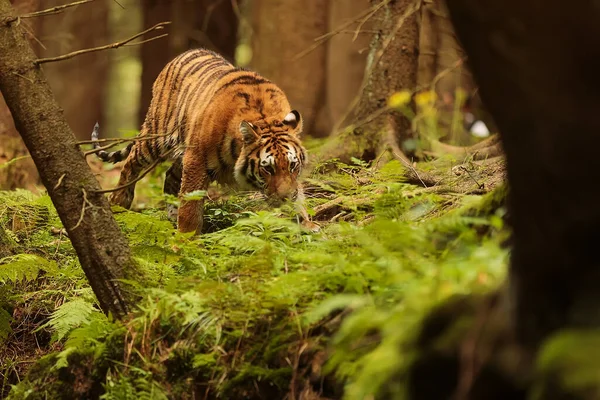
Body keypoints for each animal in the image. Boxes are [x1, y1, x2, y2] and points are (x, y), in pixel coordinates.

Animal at [90, 47, 318, 234]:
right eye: (267, 169)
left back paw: (172, 214)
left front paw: (305, 222)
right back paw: (119, 203)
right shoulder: (196, 159)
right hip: (156, 138)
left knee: (170, 176)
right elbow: (191, 205)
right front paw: (186, 240)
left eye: (292, 165)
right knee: (130, 164)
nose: (285, 198)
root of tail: (184, 53)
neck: (265, 118)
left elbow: (299, 192)